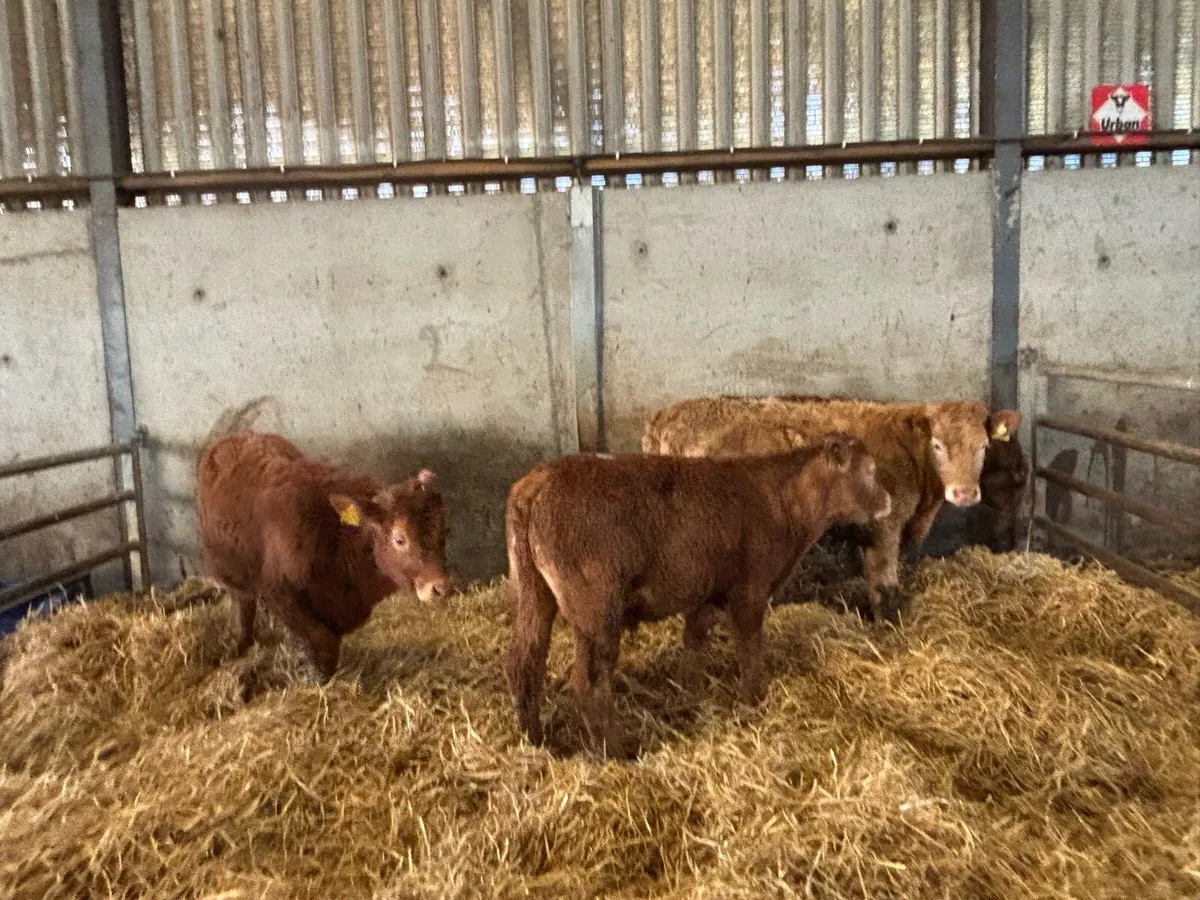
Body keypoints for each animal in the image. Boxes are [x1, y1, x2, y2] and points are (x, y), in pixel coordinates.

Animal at [196, 430, 451, 679]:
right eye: (400, 539)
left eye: (444, 530)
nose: (440, 587)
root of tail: (234, 438)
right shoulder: (278, 593)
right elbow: (322, 642)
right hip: (230, 570)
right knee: (243, 603)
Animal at [505, 433, 892, 757]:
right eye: (870, 471)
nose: (888, 499)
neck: (779, 500)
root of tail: (538, 481)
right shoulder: (750, 589)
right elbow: (750, 648)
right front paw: (752, 699)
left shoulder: (704, 591)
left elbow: (694, 641)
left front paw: (689, 691)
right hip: (596, 609)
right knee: (587, 683)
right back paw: (617, 751)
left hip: (534, 593)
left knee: (526, 663)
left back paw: (536, 740)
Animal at [641, 395, 1021, 623]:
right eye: (938, 445)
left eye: (983, 446)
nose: (964, 493)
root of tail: (668, 415)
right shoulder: (886, 526)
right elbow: (883, 580)